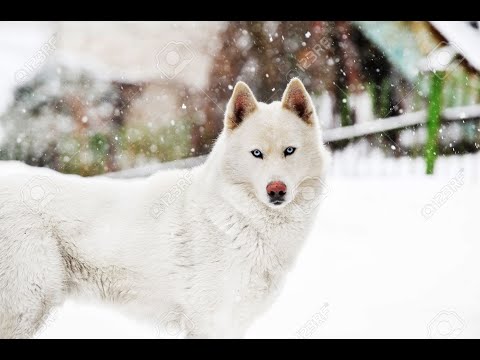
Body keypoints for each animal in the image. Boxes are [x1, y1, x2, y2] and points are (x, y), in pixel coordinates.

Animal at [0, 77, 326, 338]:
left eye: (289, 151)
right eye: (256, 153)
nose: (276, 190)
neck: (236, 216)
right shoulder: (209, 323)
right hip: (25, 308)